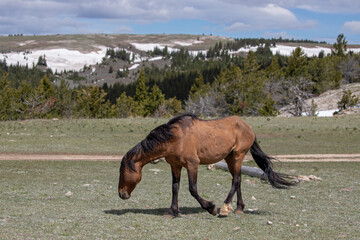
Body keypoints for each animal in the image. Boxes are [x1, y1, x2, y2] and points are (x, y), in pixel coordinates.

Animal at [118, 113, 292, 217]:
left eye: (122, 172)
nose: (121, 194)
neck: (176, 138)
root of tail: (248, 127)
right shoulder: (175, 165)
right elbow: (175, 187)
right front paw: (173, 211)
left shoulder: (192, 164)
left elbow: (192, 189)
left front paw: (210, 207)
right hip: (230, 158)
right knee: (238, 180)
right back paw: (238, 208)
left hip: (238, 155)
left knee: (236, 180)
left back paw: (224, 208)